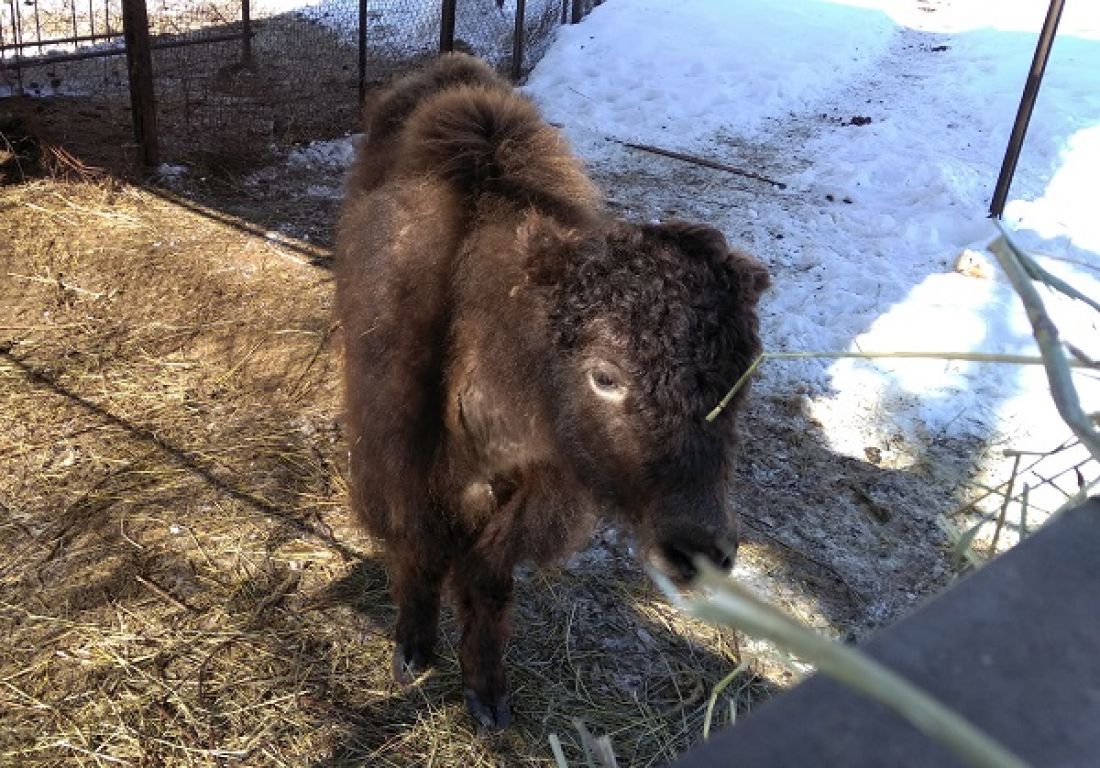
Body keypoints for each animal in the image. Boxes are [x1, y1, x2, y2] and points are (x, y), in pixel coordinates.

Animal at [330, 52, 770, 721]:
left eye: (746, 371)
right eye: (605, 375)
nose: (701, 551)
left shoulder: (534, 495)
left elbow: (488, 577)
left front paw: (486, 692)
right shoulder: (402, 465)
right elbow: (420, 552)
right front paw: (414, 648)